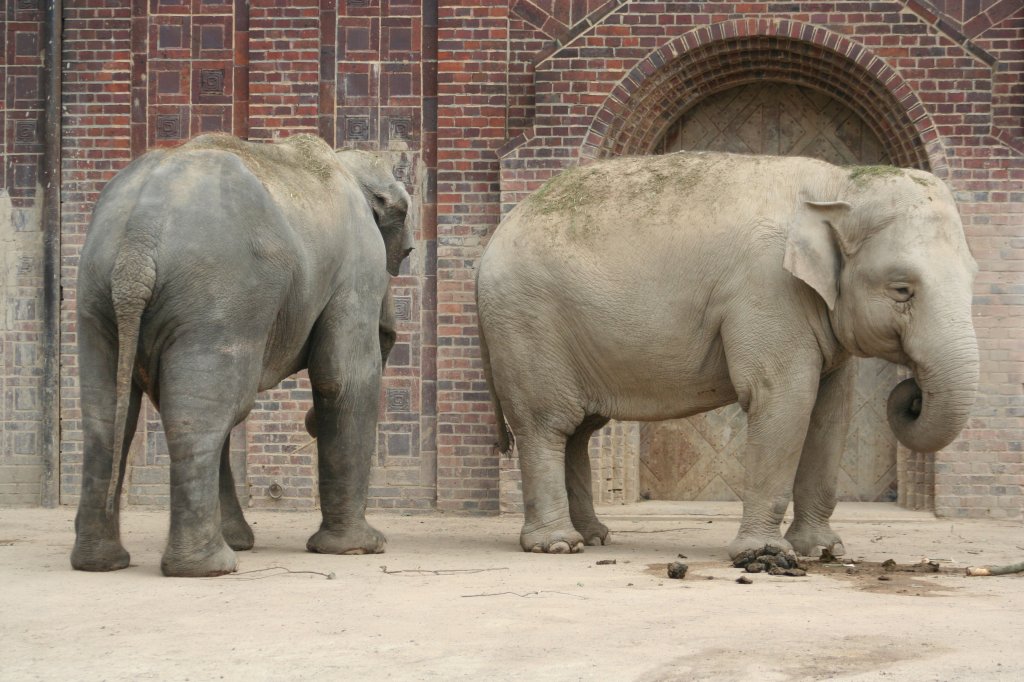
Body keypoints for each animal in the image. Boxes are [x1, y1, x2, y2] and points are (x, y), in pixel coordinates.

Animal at [69, 133, 415, 573]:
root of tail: (139, 235)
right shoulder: (359, 264)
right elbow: (342, 379)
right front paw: (361, 547)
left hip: (97, 294)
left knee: (109, 414)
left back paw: (102, 562)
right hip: (220, 295)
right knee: (205, 413)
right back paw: (208, 567)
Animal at [475, 150, 978, 557]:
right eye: (902, 289)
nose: (913, 393)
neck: (839, 183)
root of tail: (488, 247)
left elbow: (831, 412)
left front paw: (823, 551)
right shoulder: (768, 289)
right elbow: (784, 399)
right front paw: (763, 555)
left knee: (579, 431)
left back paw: (596, 537)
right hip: (525, 324)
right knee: (547, 424)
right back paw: (557, 545)